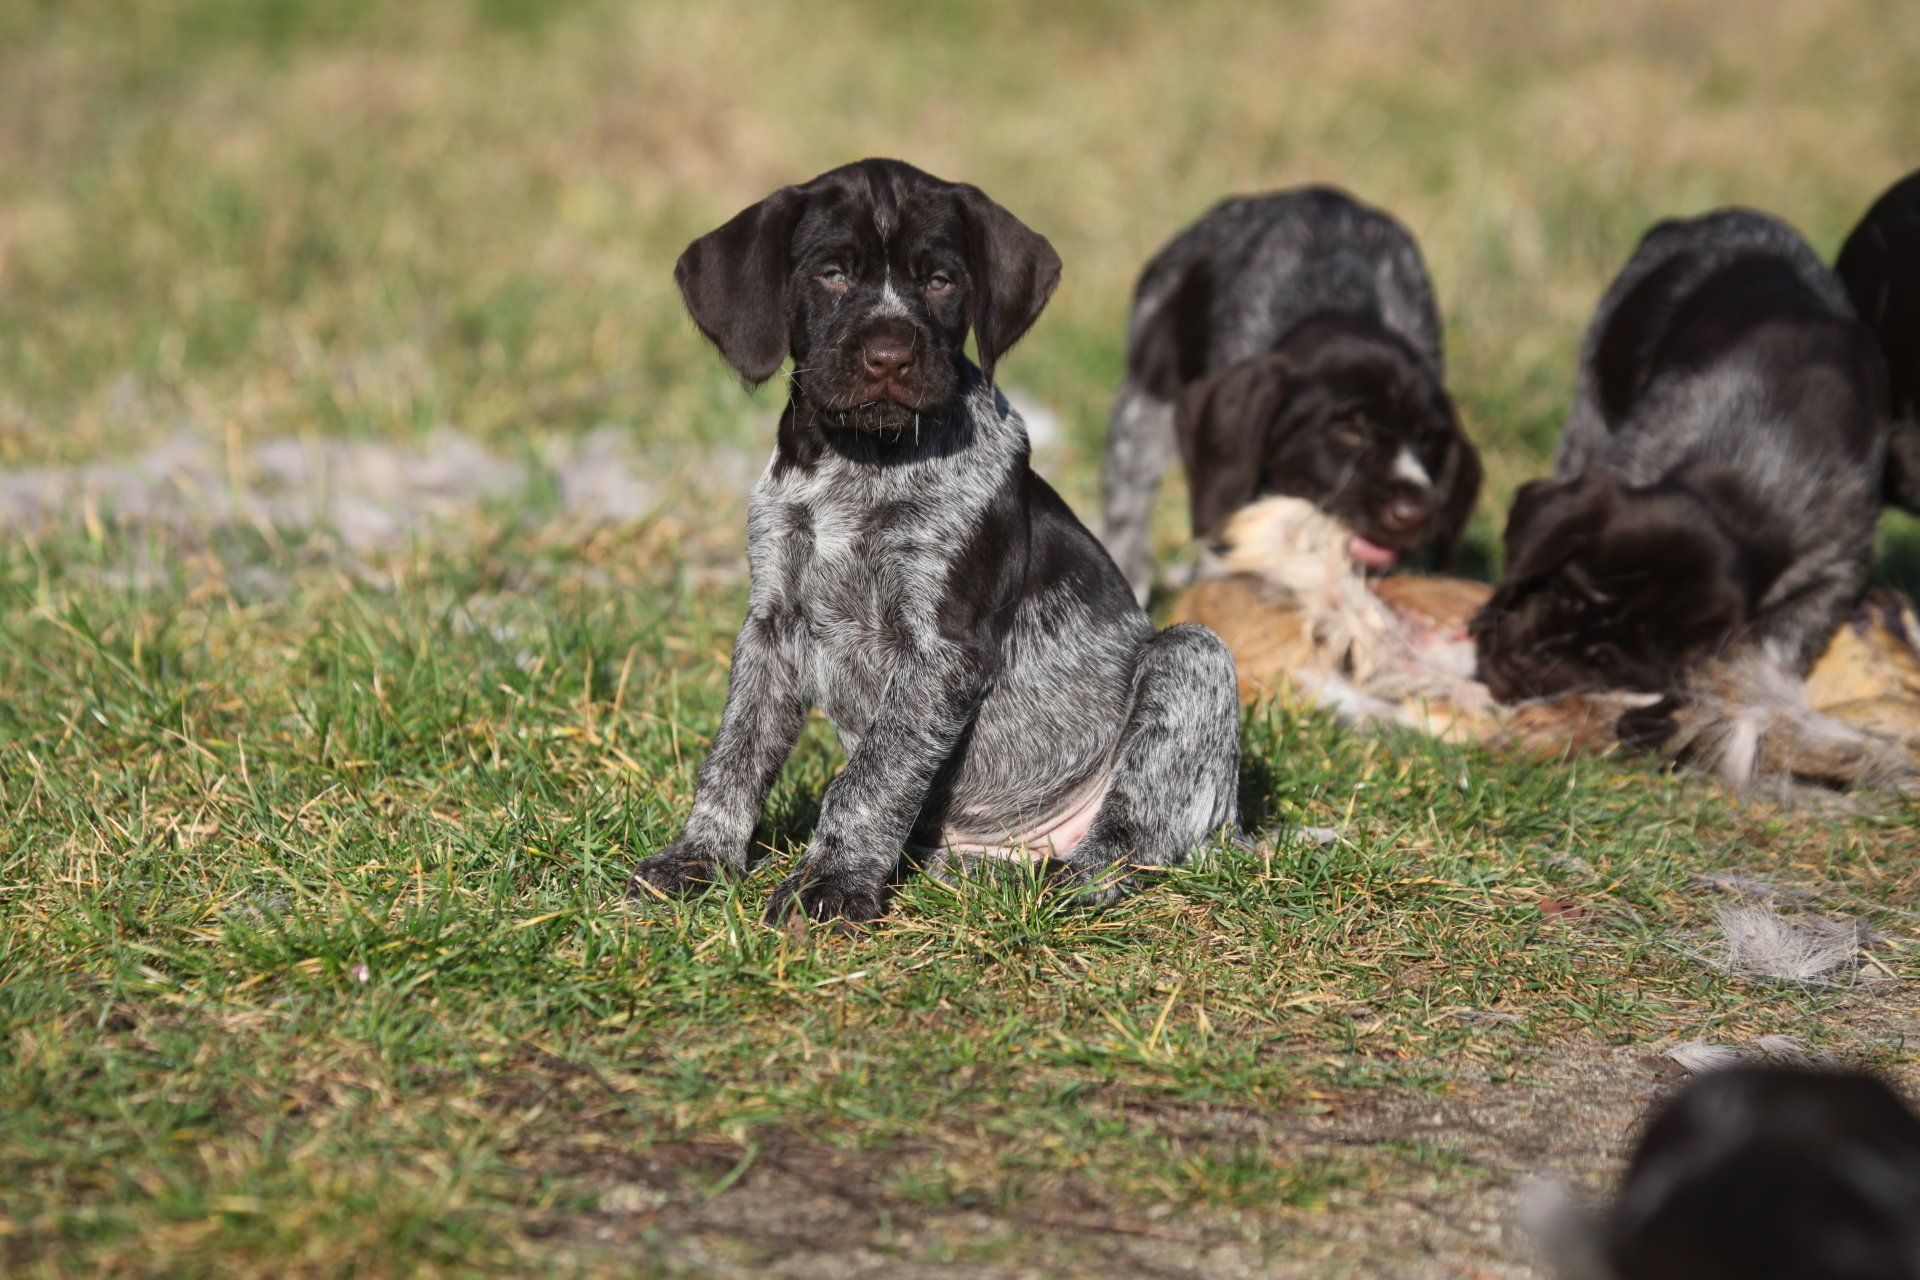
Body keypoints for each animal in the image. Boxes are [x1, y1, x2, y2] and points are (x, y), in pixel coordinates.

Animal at [627, 159, 1242, 925]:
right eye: (832, 274)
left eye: (941, 282)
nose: (889, 356)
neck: (861, 462)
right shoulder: (771, 625)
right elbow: (735, 755)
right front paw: (698, 859)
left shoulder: (940, 652)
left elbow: (869, 779)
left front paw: (831, 887)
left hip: (1191, 656)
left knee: (1130, 840)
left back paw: (1070, 879)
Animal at [1473, 210, 1888, 705]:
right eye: (1561, 593)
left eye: (1604, 663)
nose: (1524, 660)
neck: (1750, 488)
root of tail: (1694, 221)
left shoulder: (1839, 566)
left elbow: (1783, 641)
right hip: (1590, 407)